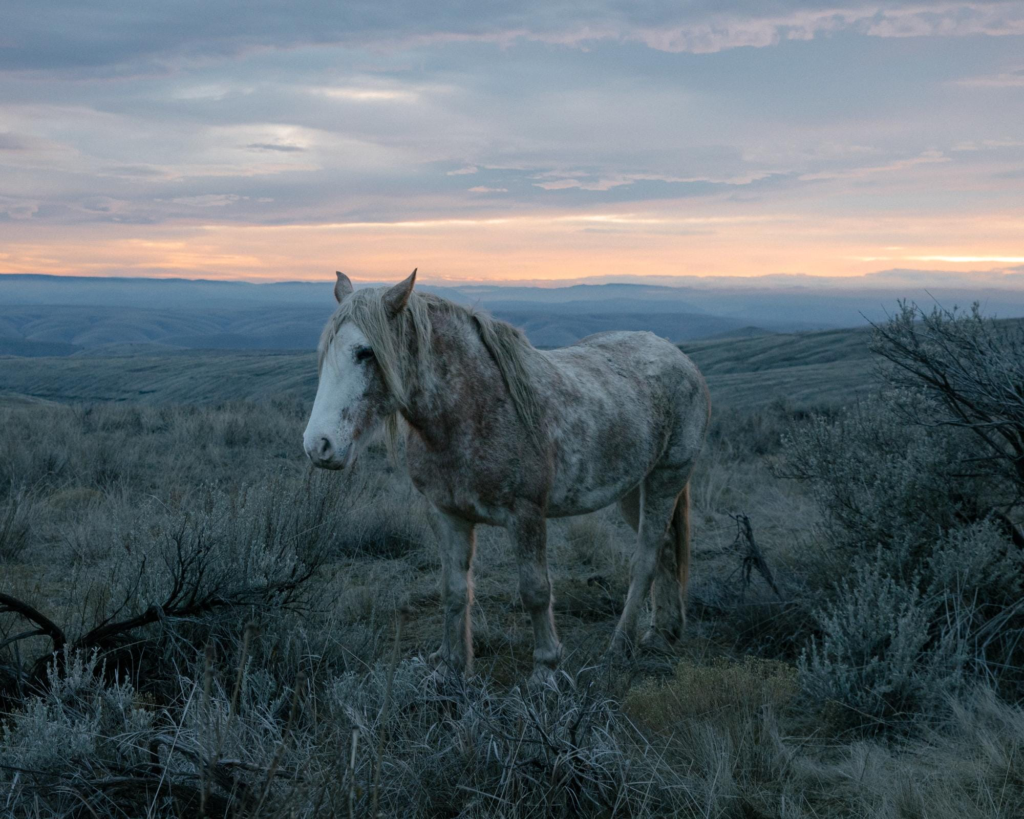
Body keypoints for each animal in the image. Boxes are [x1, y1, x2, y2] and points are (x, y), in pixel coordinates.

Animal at [303, 270, 710, 685]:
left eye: (365, 352)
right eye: (326, 353)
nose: (318, 445)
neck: (471, 410)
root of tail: (678, 357)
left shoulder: (526, 514)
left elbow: (535, 590)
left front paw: (546, 670)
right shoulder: (446, 513)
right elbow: (453, 589)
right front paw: (450, 665)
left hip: (666, 480)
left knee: (646, 558)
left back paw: (621, 644)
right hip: (632, 489)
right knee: (665, 549)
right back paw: (662, 633)